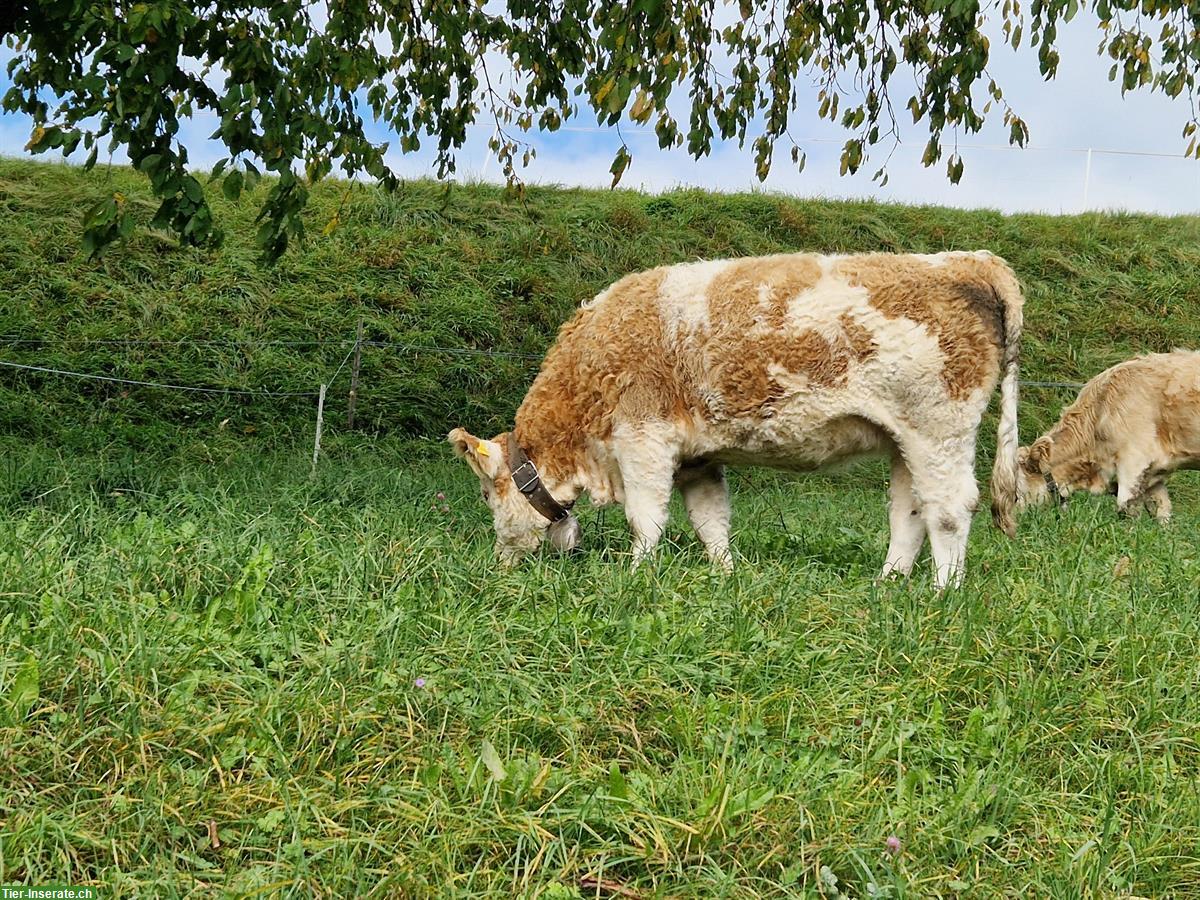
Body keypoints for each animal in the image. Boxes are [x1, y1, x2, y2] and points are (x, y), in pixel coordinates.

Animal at [450, 250, 1024, 588]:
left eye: (486, 495)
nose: (499, 563)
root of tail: (970, 260)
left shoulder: (642, 437)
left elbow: (646, 517)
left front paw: (636, 576)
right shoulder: (697, 457)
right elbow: (711, 520)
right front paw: (725, 576)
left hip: (939, 427)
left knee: (949, 509)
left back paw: (942, 593)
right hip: (905, 438)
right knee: (910, 511)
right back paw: (887, 585)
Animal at [1018, 350, 1200, 522]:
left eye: (1016, 493)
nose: (1017, 521)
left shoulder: (1134, 460)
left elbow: (1126, 508)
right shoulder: (1154, 471)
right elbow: (1161, 510)